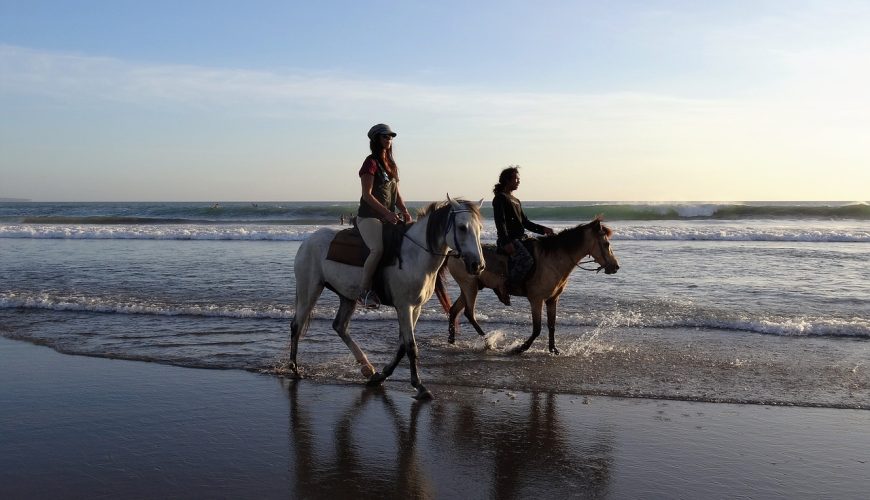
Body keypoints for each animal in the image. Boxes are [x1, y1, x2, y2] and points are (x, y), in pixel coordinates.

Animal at [292, 197, 484, 400]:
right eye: (462, 227)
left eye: (479, 227)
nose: (478, 265)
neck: (415, 255)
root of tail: (307, 242)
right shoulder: (405, 307)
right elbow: (410, 346)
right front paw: (419, 386)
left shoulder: (416, 308)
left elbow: (402, 346)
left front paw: (383, 375)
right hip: (309, 290)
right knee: (297, 325)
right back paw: (294, 368)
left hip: (347, 296)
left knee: (339, 326)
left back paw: (368, 368)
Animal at [436, 217, 620, 354]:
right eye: (606, 244)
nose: (615, 267)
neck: (553, 260)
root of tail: (453, 252)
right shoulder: (536, 299)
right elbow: (537, 328)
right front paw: (521, 347)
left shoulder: (552, 299)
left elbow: (551, 325)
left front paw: (553, 349)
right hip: (470, 287)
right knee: (469, 313)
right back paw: (488, 341)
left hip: (469, 287)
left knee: (454, 310)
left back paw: (452, 341)